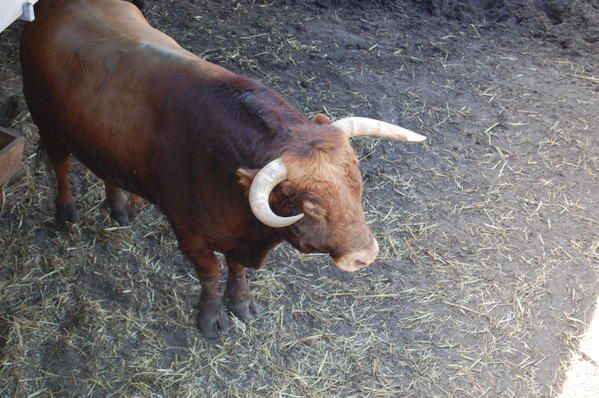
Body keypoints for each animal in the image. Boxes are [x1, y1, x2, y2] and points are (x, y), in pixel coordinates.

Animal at [21, 0, 426, 338]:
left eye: (358, 182)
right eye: (310, 206)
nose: (365, 255)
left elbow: (236, 269)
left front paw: (241, 303)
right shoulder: (190, 234)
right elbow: (211, 273)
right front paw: (211, 318)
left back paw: (119, 207)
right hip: (48, 124)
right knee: (61, 165)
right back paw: (66, 213)